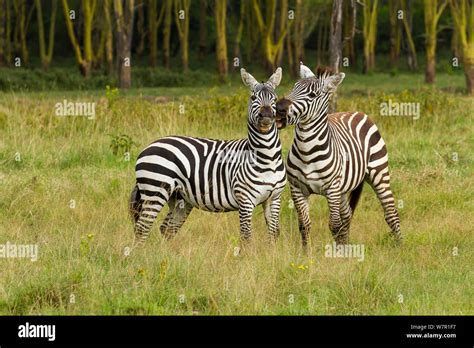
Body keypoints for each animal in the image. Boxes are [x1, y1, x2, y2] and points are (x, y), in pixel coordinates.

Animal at [128, 68, 286, 246]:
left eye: (275, 98)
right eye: (253, 98)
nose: (266, 116)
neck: (268, 158)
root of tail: (149, 146)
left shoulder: (274, 198)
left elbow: (274, 233)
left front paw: (272, 252)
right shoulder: (245, 200)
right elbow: (246, 236)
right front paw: (249, 254)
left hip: (180, 199)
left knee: (166, 228)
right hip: (155, 190)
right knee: (143, 228)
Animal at [276, 64, 402, 246]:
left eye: (312, 95)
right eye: (294, 88)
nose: (279, 108)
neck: (307, 152)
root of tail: (358, 112)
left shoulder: (332, 189)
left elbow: (334, 225)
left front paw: (336, 253)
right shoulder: (297, 189)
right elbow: (304, 226)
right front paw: (307, 252)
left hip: (379, 173)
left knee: (391, 213)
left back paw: (400, 245)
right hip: (343, 188)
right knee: (347, 215)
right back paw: (346, 245)